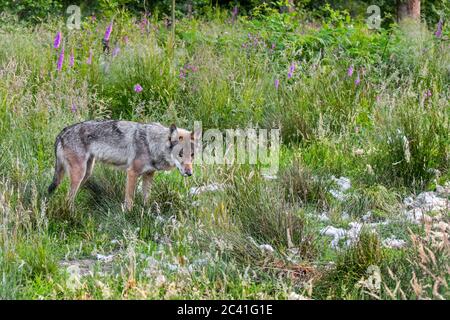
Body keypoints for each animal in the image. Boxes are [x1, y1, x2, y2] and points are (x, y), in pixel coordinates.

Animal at [48, 120, 194, 210]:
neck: (151, 143)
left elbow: (146, 198)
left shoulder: (148, 175)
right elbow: (129, 200)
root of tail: (62, 133)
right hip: (79, 174)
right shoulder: (132, 173)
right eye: (180, 154)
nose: (190, 173)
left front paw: (146, 212)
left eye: (192, 155)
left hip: (86, 174)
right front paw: (128, 215)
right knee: (68, 198)